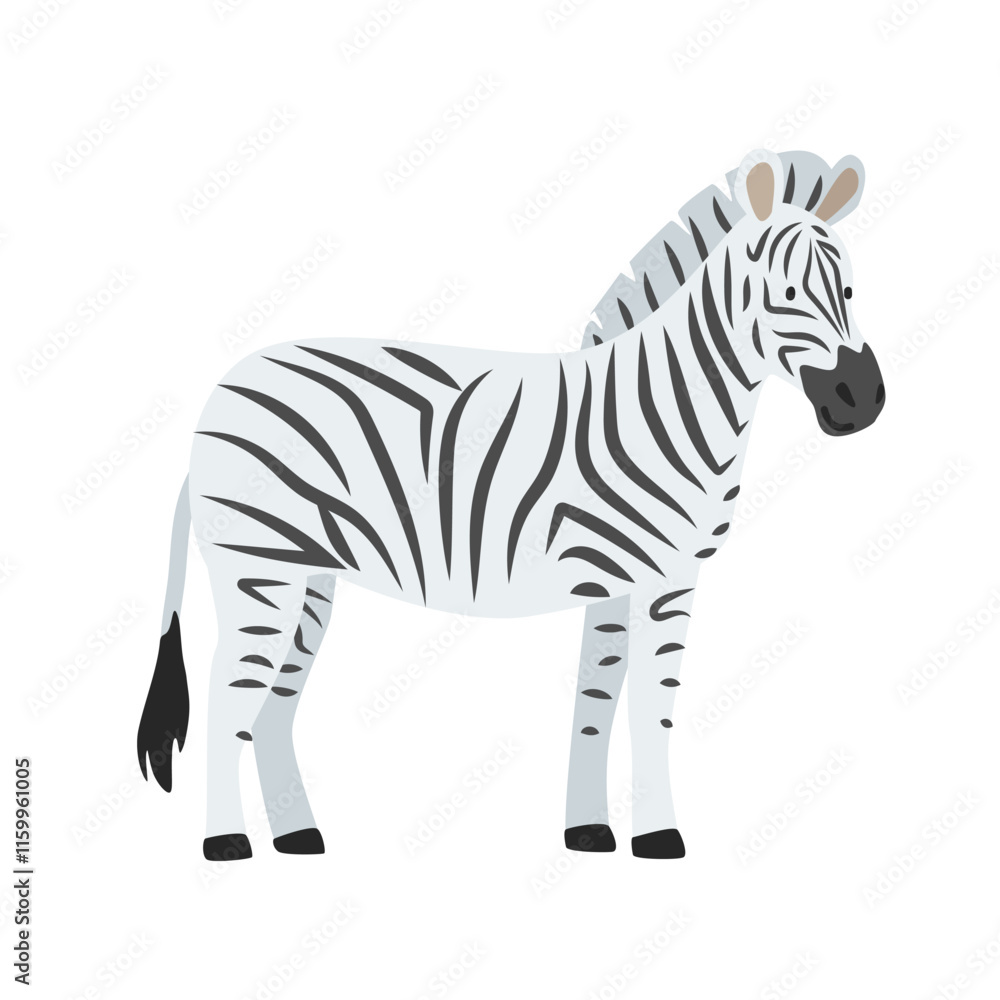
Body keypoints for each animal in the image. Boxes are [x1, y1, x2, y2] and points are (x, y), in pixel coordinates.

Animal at [137, 148, 885, 861]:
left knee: (271, 708)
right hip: (259, 568)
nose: (862, 400)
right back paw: (226, 844)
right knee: (227, 697)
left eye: (850, 287)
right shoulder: (656, 578)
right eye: (785, 294)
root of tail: (214, 402)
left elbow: (597, 697)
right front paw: (659, 837)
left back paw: (297, 838)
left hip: (309, 576)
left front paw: (588, 830)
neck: (668, 404)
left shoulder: (631, 580)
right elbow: (649, 706)